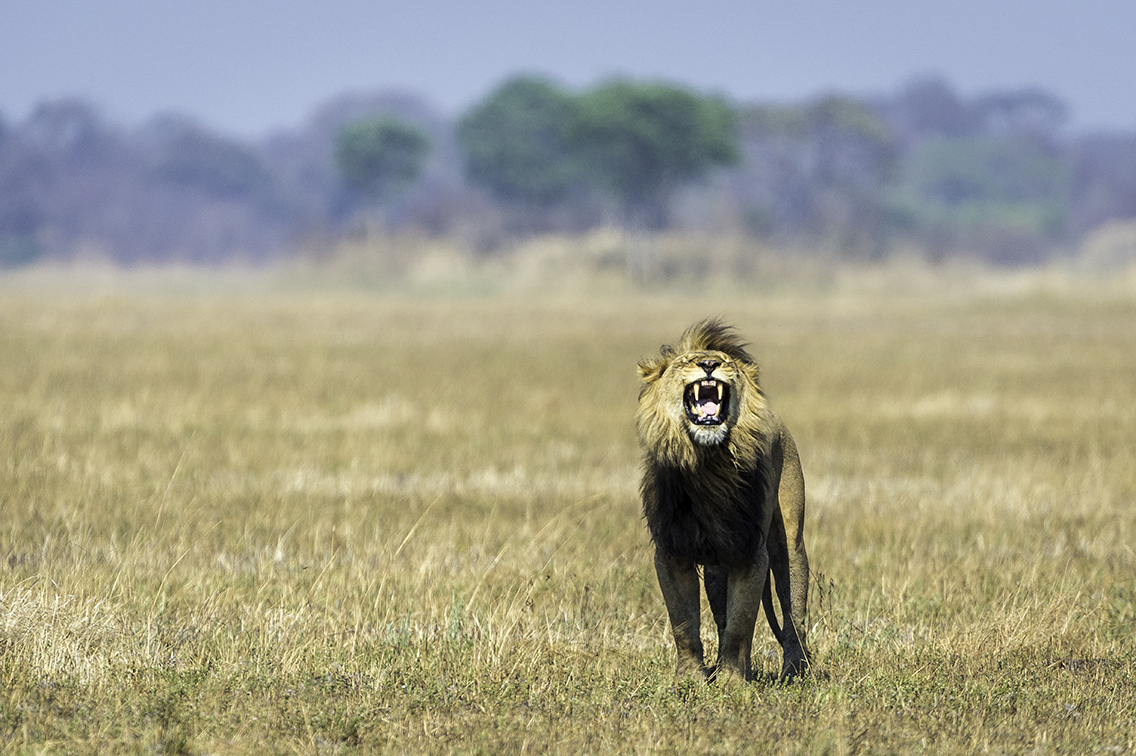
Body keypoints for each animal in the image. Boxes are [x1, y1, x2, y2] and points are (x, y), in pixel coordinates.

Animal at [637, 319, 810, 682]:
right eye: (685, 362)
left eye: (726, 362)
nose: (709, 364)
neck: (707, 463)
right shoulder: (671, 551)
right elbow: (684, 623)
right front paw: (689, 678)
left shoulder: (750, 551)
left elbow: (740, 624)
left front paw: (732, 681)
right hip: (718, 564)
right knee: (719, 612)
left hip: (790, 543)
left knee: (793, 612)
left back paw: (794, 670)